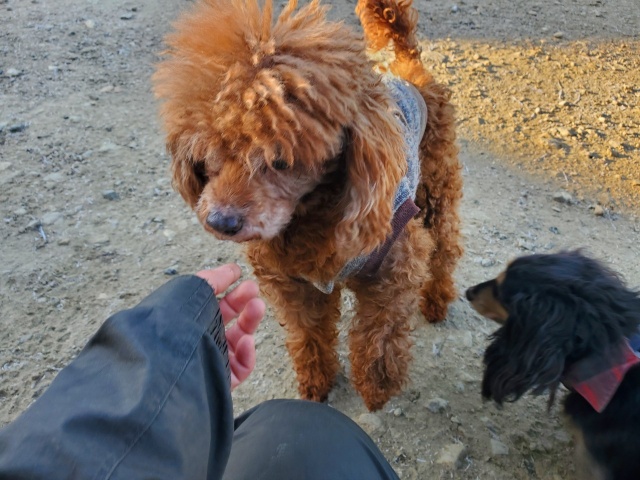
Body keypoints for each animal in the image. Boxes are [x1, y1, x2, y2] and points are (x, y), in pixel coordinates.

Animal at [153, 0, 463, 411]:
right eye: (209, 152)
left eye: (281, 160)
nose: (221, 221)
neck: (311, 217)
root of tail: (406, 66)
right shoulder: (292, 282)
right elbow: (308, 332)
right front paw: (317, 380)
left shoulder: (396, 262)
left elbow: (381, 331)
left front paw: (375, 387)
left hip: (436, 185)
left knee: (445, 245)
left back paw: (437, 300)